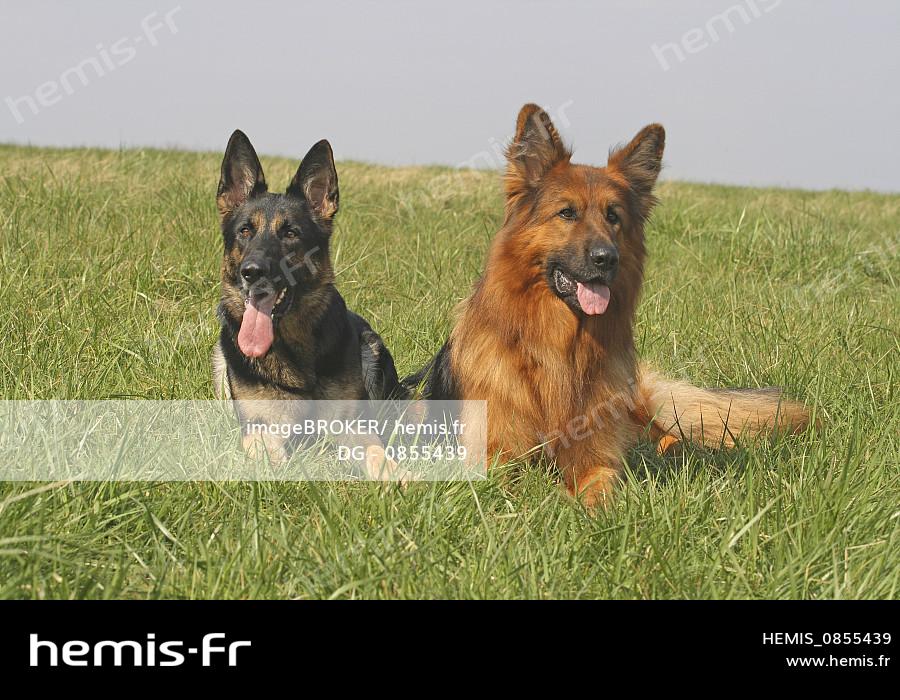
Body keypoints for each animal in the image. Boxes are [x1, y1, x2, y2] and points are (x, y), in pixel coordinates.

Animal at [213, 129, 400, 474]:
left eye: (290, 233)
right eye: (245, 231)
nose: (252, 272)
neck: (291, 349)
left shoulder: (353, 425)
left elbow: (377, 453)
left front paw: (400, 474)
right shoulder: (260, 429)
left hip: (371, 347)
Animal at [404, 104, 812, 506]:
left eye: (613, 216)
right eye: (567, 213)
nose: (606, 259)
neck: (559, 349)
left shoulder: (597, 460)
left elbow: (601, 488)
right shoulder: (494, 458)